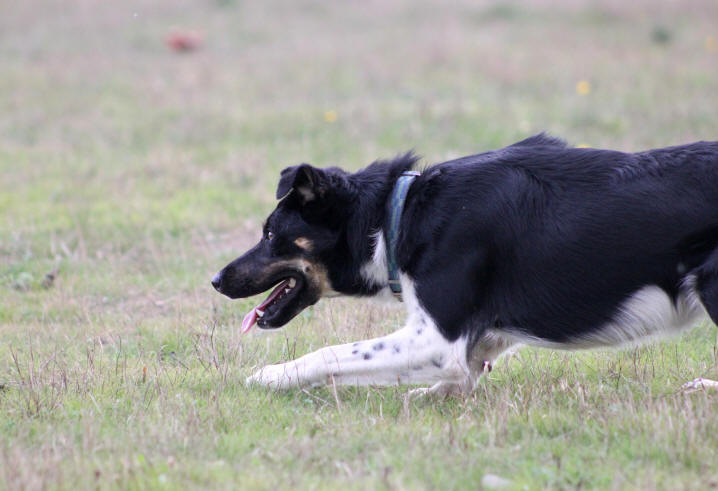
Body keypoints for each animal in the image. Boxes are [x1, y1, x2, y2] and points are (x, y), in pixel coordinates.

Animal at [212, 135, 718, 396]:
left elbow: (333, 352)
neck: (399, 213)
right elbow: (465, 374)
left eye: (270, 235)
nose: (215, 280)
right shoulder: (476, 339)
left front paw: (271, 375)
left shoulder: (438, 340)